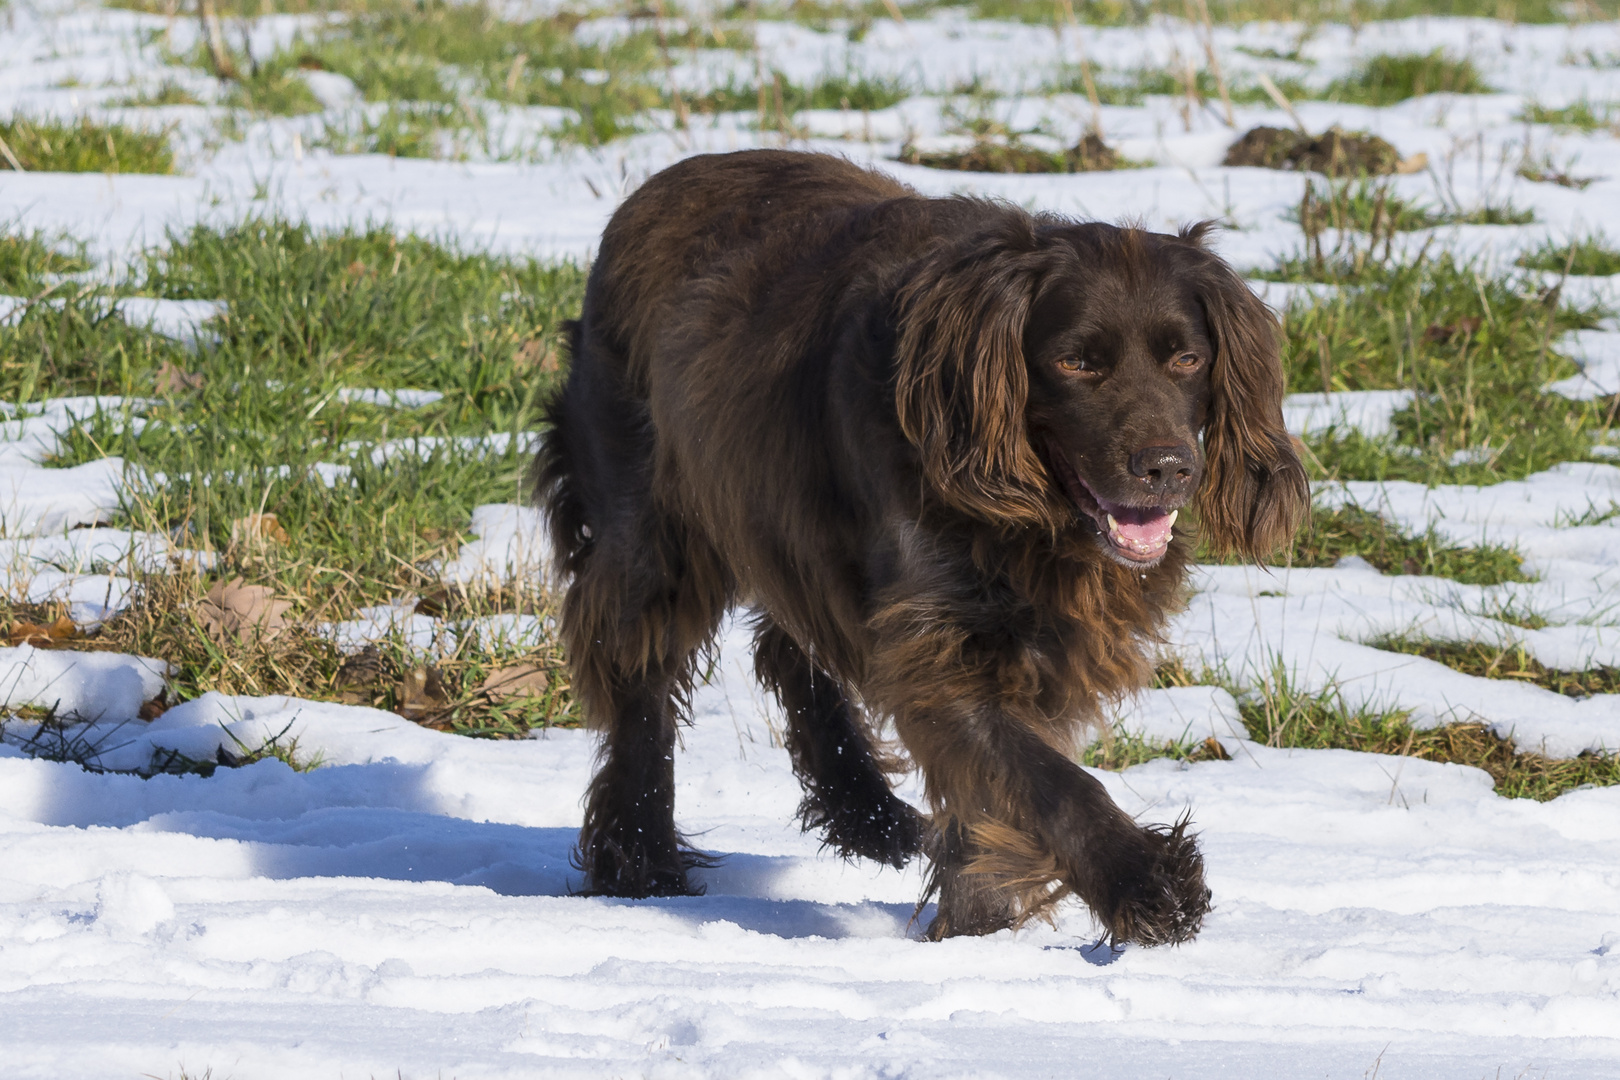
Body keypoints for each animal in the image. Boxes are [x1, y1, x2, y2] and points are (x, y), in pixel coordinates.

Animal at [537, 152, 1308, 945]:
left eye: (1187, 358)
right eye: (1075, 363)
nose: (1167, 468)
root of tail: (657, 185)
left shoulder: (1040, 642)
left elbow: (996, 792)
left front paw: (974, 925)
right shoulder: (938, 641)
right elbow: (1043, 777)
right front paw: (1144, 883)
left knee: (788, 648)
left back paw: (867, 815)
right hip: (650, 524)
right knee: (639, 676)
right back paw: (639, 861)